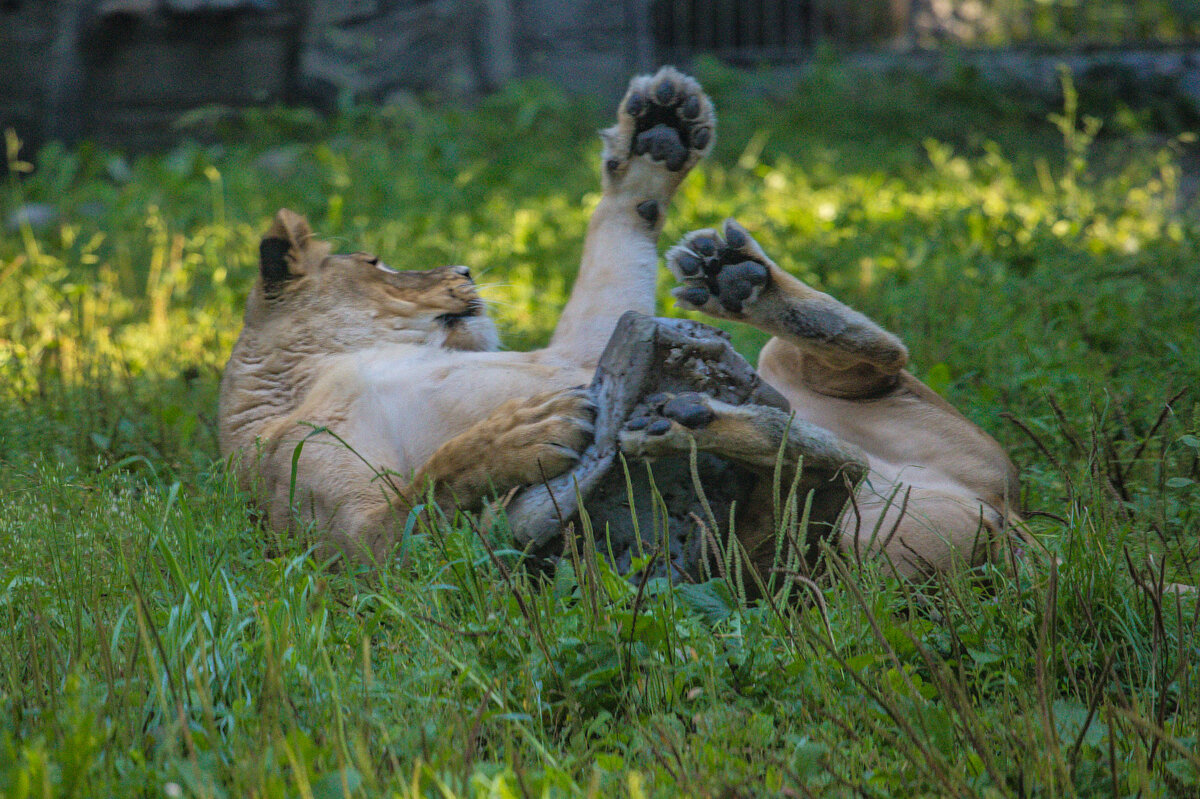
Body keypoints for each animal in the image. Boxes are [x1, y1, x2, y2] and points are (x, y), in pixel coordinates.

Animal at [218, 66, 1022, 573]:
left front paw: (656, 139)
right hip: (805, 558)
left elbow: (613, 243)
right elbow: (434, 483)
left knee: (877, 362)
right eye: (379, 260)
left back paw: (733, 289)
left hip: (800, 385)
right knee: (811, 486)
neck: (332, 367)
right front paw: (530, 432)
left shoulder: (575, 347)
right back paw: (700, 422)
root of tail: (1007, 518)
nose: (466, 272)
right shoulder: (355, 545)